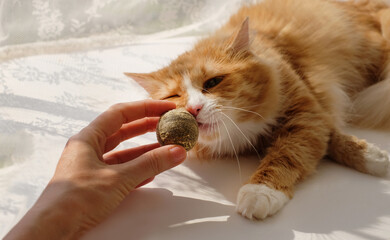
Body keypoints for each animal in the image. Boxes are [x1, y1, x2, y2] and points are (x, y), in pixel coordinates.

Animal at [125, 0, 390, 220]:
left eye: (213, 82)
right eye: (174, 96)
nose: (193, 108)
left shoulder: (306, 113)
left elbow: (291, 152)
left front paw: (260, 192)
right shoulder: (313, 117)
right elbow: (326, 140)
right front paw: (376, 157)